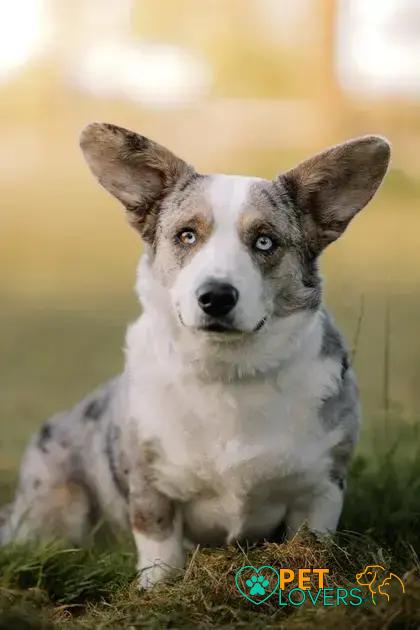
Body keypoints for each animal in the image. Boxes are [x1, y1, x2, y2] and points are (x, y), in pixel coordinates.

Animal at [0, 124, 390, 592]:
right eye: (187, 235)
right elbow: (160, 551)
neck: (227, 373)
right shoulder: (151, 489)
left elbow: (311, 544)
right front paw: (155, 591)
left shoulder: (321, 490)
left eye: (265, 241)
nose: (216, 297)